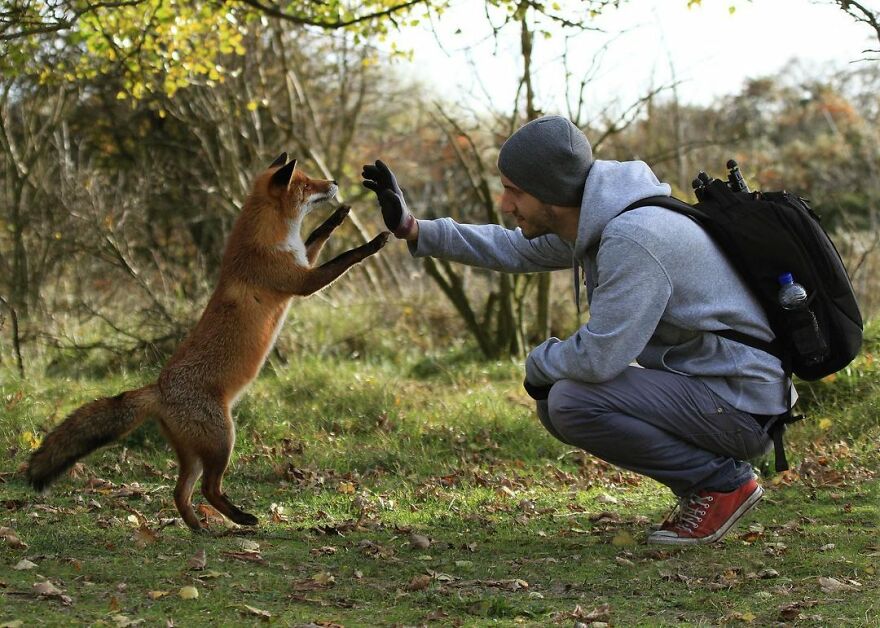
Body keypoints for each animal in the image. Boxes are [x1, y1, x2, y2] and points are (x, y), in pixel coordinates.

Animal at [25, 153, 390, 528]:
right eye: (305, 184)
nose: (333, 182)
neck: (266, 238)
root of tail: (158, 389)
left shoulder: (302, 261)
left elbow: (317, 234)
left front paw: (339, 216)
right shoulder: (302, 281)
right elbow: (345, 258)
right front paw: (373, 243)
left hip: (195, 454)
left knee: (180, 492)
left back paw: (199, 527)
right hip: (223, 440)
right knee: (208, 489)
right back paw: (242, 519)